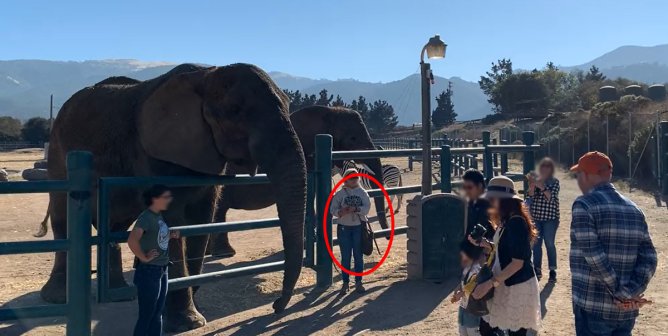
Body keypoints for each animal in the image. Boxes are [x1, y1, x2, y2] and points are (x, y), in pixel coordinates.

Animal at [43, 63, 310, 330]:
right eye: (235, 110)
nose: (276, 306)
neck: (205, 75)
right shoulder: (152, 154)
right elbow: (171, 222)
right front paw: (187, 323)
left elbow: (201, 221)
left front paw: (191, 310)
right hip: (58, 154)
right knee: (62, 218)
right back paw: (56, 298)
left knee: (115, 225)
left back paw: (120, 293)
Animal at [207, 105, 386, 258]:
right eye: (352, 138)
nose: (381, 234)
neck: (329, 111)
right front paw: (307, 246)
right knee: (219, 211)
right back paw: (225, 253)